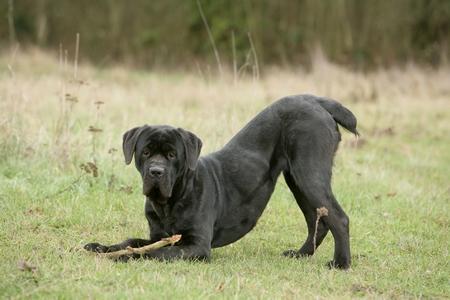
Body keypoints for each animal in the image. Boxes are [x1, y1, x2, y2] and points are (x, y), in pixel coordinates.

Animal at [84, 94, 358, 270]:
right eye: (146, 152)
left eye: (172, 155)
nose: (156, 171)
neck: (170, 202)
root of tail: (317, 101)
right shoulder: (158, 235)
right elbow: (131, 242)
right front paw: (101, 247)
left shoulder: (196, 245)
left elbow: (158, 252)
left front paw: (122, 258)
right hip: (297, 180)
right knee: (316, 220)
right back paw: (300, 255)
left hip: (309, 173)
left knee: (338, 218)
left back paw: (340, 264)